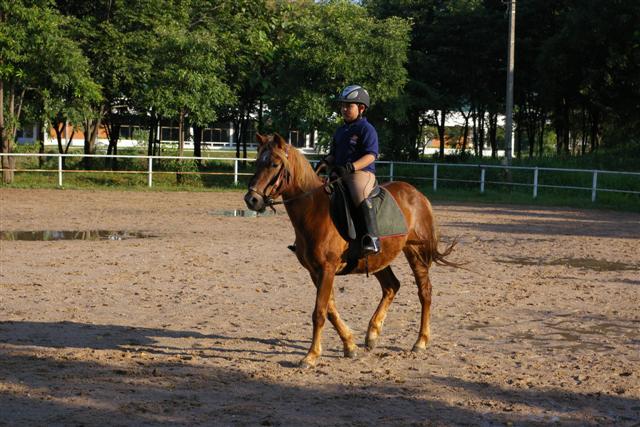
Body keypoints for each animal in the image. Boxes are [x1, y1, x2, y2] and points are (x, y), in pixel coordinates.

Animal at [242, 133, 458, 368]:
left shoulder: (327, 268)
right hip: (378, 258)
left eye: (274, 164)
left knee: (424, 292)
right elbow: (330, 309)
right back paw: (372, 334)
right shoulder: (315, 271)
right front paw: (349, 345)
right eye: (257, 162)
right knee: (391, 286)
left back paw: (420, 341)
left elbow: (319, 312)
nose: (251, 199)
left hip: (415, 253)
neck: (314, 210)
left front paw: (311, 355)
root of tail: (417, 195)